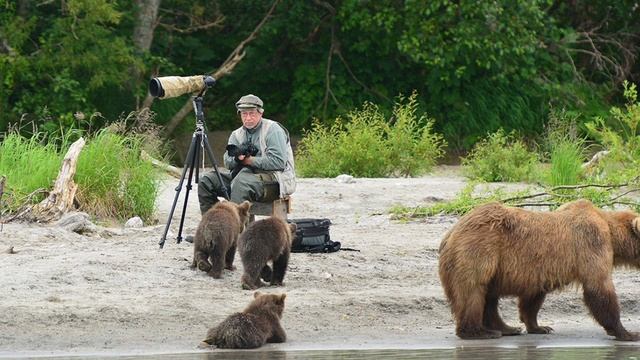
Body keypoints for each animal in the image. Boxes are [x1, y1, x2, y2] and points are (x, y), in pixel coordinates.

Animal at [438, 198, 640, 342]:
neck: (611, 232)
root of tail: (450, 233)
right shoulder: (591, 243)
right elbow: (599, 288)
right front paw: (628, 333)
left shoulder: (539, 270)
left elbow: (533, 298)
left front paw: (539, 327)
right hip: (479, 250)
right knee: (473, 291)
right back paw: (479, 332)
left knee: (488, 296)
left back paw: (507, 328)